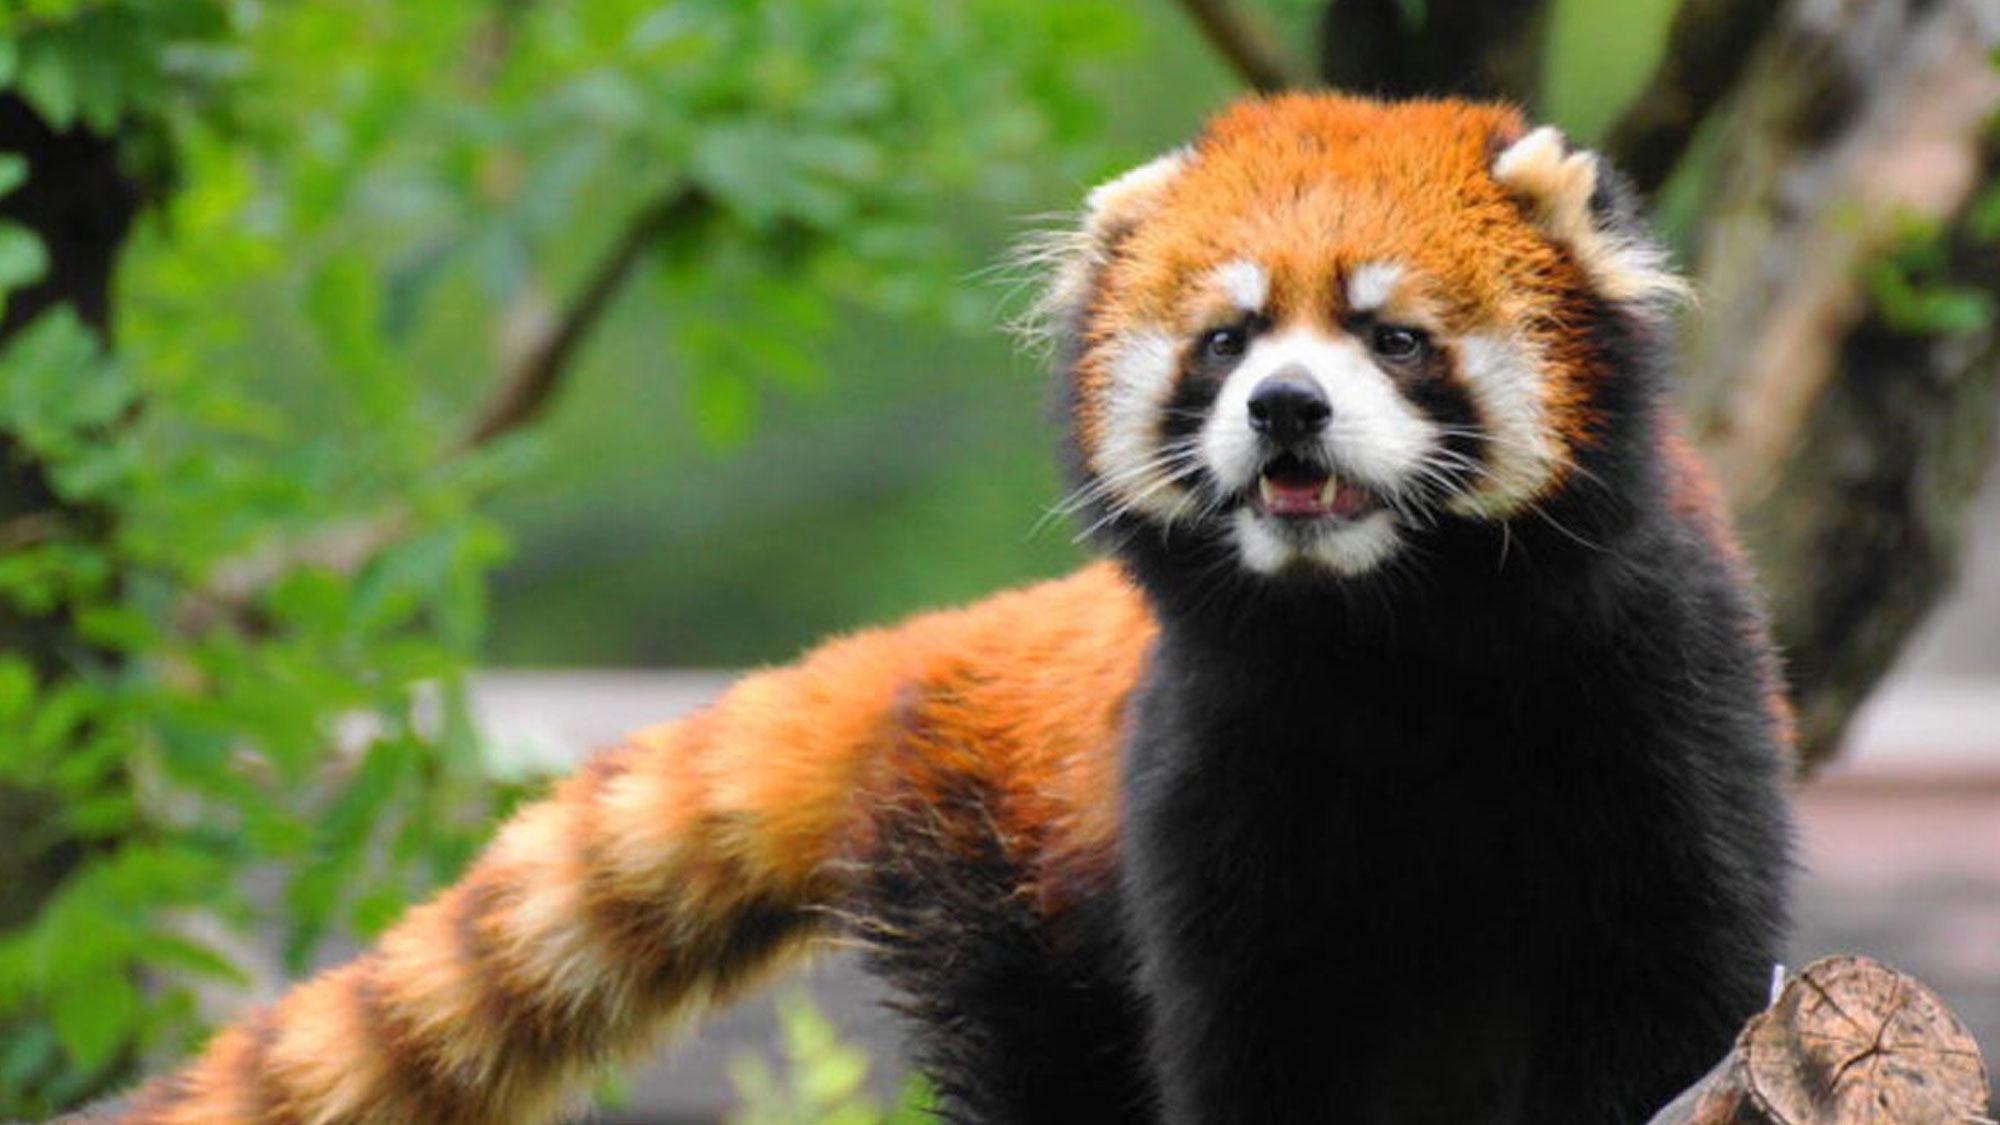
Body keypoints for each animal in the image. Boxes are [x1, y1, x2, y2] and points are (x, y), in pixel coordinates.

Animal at [62, 94, 1792, 1120]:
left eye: (1396, 336)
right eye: (1228, 343)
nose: (1290, 409)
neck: (1391, 648)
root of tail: (961, 637)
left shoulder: (1657, 696)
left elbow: (1672, 990)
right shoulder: (1201, 792)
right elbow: (1251, 1047)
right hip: (1006, 884)